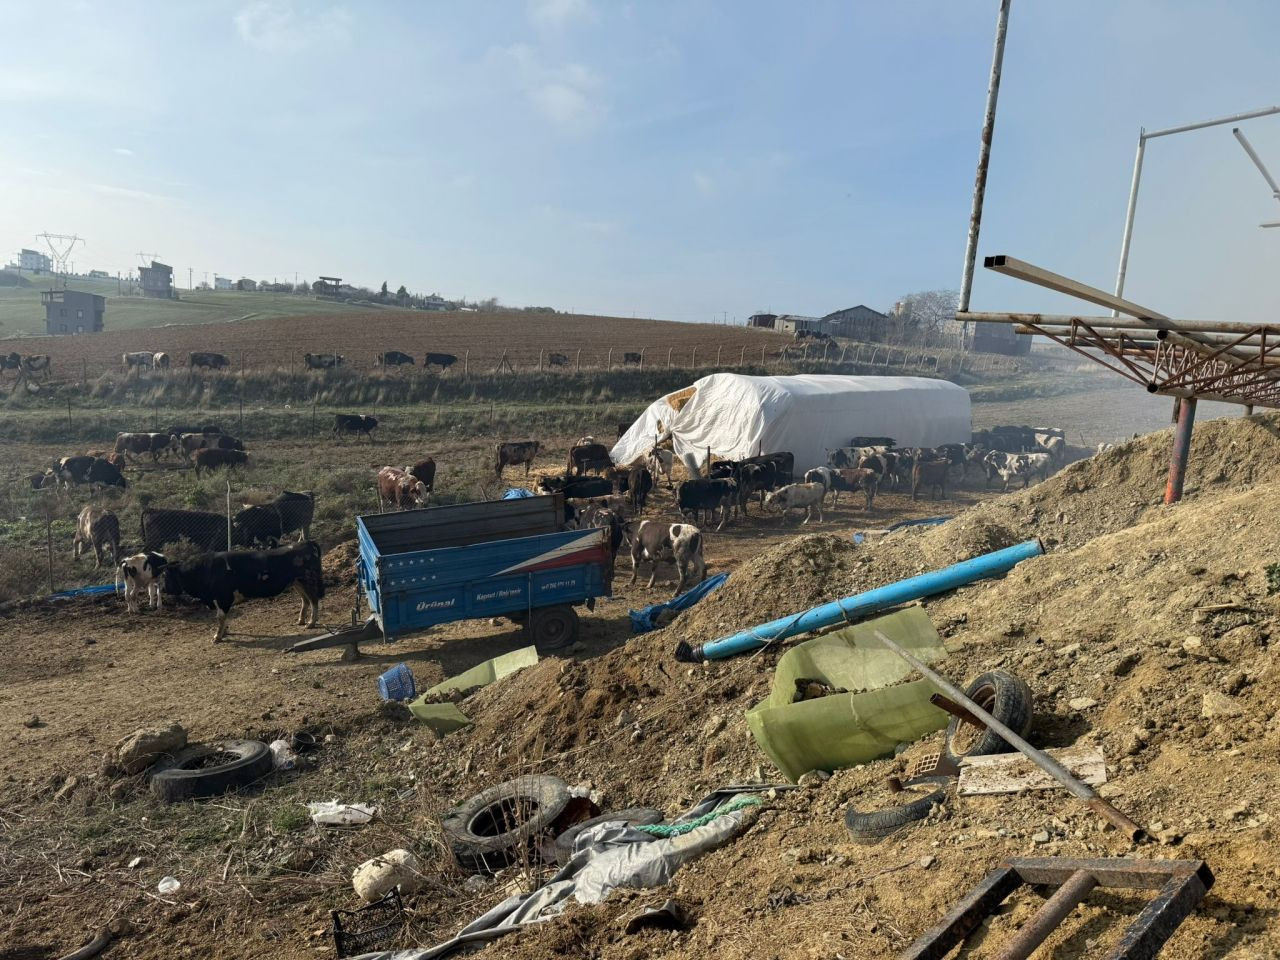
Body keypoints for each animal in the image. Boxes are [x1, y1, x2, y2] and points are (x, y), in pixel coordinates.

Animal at [160, 545, 325, 642]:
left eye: (166, 575)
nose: (163, 590)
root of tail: (304, 544)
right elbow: (224, 618)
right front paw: (224, 632)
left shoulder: (222, 598)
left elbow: (221, 617)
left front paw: (218, 636)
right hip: (297, 582)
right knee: (305, 600)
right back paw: (301, 620)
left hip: (307, 580)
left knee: (314, 600)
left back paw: (311, 623)